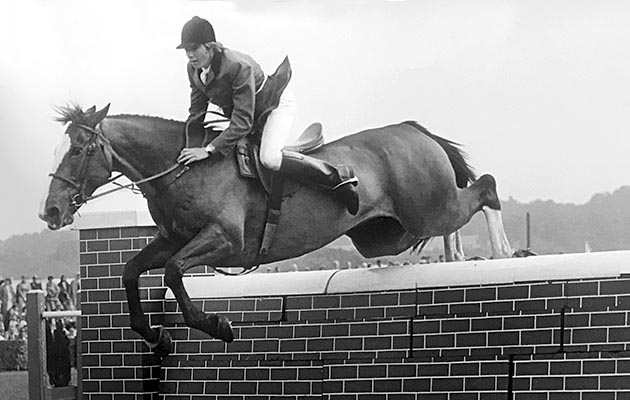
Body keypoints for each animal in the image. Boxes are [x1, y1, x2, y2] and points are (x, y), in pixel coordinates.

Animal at [38, 103, 512, 356]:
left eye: (78, 150)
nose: (50, 212)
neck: (184, 168)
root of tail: (413, 129)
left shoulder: (224, 241)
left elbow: (172, 273)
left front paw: (217, 326)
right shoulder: (173, 239)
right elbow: (131, 271)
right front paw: (156, 336)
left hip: (427, 209)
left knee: (485, 189)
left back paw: (502, 254)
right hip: (385, 234)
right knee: (456, 212)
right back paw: (459, 258)